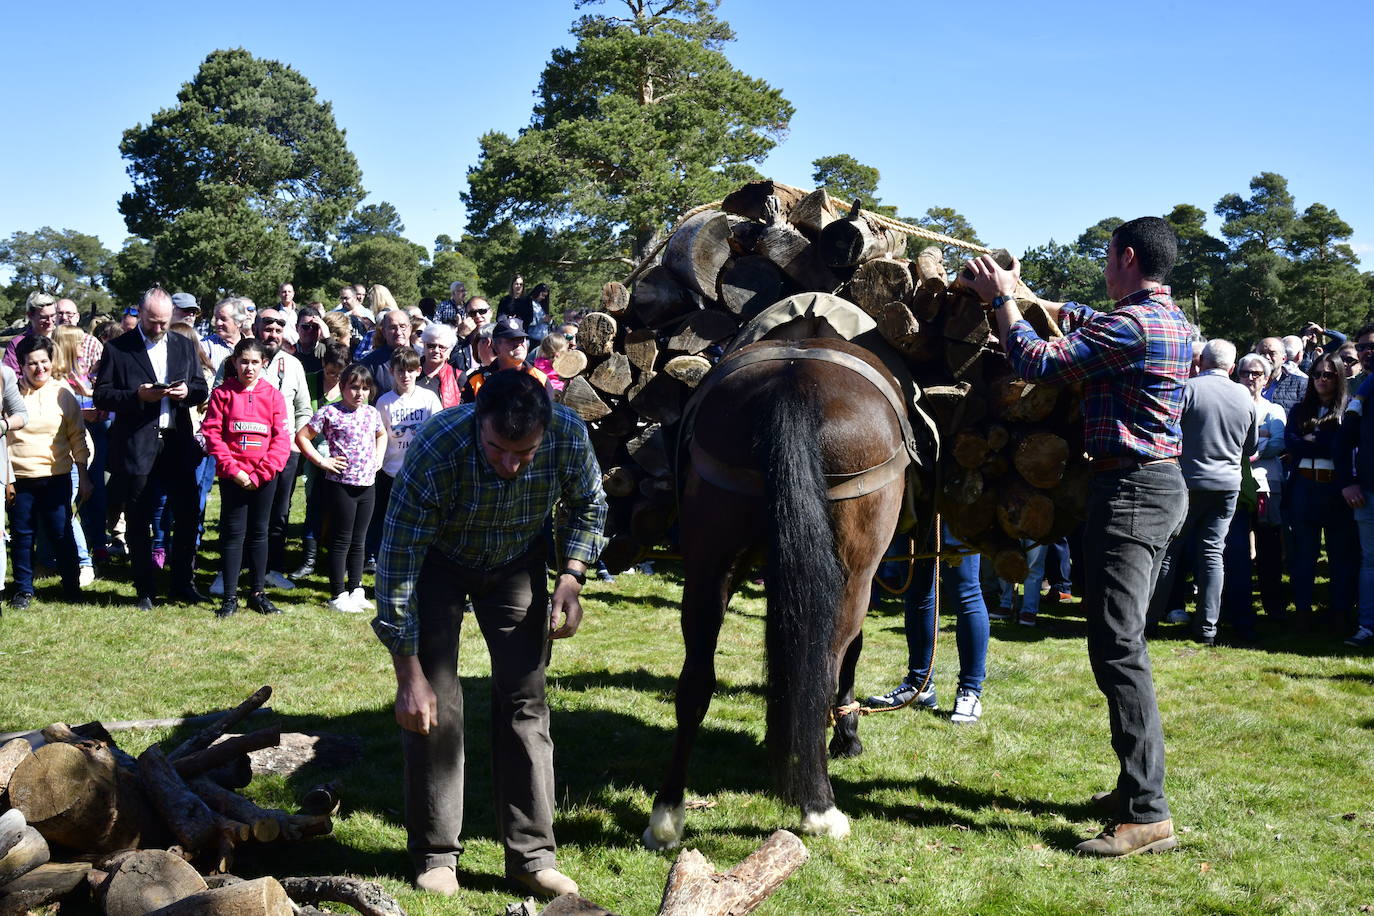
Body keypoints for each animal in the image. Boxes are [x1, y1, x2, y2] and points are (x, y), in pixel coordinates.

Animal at [645, 328, 934, 845]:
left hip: (708, 566)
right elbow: (851, 654)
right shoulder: (859, 576)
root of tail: (792, 385)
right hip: (852, 573)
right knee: (821, 669)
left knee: (695, 680)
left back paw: (667, 814)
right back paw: (819, 808)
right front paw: (847, 735)